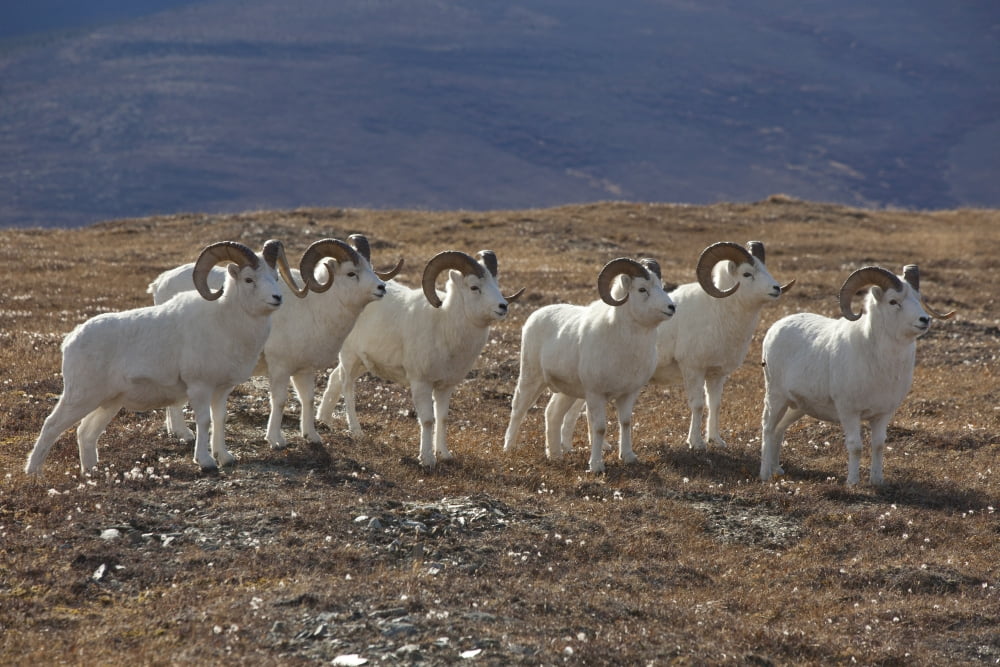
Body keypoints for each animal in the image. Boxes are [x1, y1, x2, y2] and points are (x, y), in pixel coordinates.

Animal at [25, 240, 296, 475]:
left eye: (275, 277)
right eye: (249, 279)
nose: (277, 298)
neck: (226, 325)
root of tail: (70, 340)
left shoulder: (221, 390)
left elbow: (220, 419)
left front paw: (226, 458)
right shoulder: (199, 388)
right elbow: (204, 421)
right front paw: (206, 462)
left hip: (108, 402)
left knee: (85, 433)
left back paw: (92, 473)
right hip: (80, 397)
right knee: (51, 426)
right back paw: (34, 474)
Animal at [149, 234, 401, 448]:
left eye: (370, 267)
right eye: (351, 273)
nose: (381, 288)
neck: (315, 308)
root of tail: (159, 283)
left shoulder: (304, 370)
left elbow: (308, 399)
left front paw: (312, 437)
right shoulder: (280, 368)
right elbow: (279, 401)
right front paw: (276, 440)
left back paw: (176, 432)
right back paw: (184, 434)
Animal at [317, 249, 524, 469]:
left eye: (496, 284)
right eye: (474, 287)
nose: (503, 307)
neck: (444, 326)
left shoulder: (445, 387)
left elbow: (443, 418)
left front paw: (444, 454)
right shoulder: (421, 383)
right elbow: (427, 420)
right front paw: (427, 459)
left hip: (362, 363)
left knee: (334, 379)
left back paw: (323, 421)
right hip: (349, 358)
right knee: (347, 387)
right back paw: (356, 432)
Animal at [503, 257, 676, 473]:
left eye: (661, 285)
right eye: (642, 289)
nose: (671, 307)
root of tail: (534, 316)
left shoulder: (628, 394)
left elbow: (625, 423)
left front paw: (628, 457)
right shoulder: (595, 394)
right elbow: (599, 428)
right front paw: (596, 466)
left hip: (567, 392)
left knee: (552, 414)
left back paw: (555, 455)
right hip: (531, 378)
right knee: (519, 409)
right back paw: (509, 448)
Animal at [759, 264, 954, 485]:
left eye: (917, 298)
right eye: (893, 301)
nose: (924, 320)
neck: (881, 365)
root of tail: (775, 328)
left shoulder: (882, 415)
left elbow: (878, 445)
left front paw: (877, 481)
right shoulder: (849, 412)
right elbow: (856, 447)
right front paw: (852, 482)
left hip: (797, 406)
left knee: (779, 430)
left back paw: (777, 470)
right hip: (776, 397)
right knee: (768, 429)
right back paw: (765, 475)